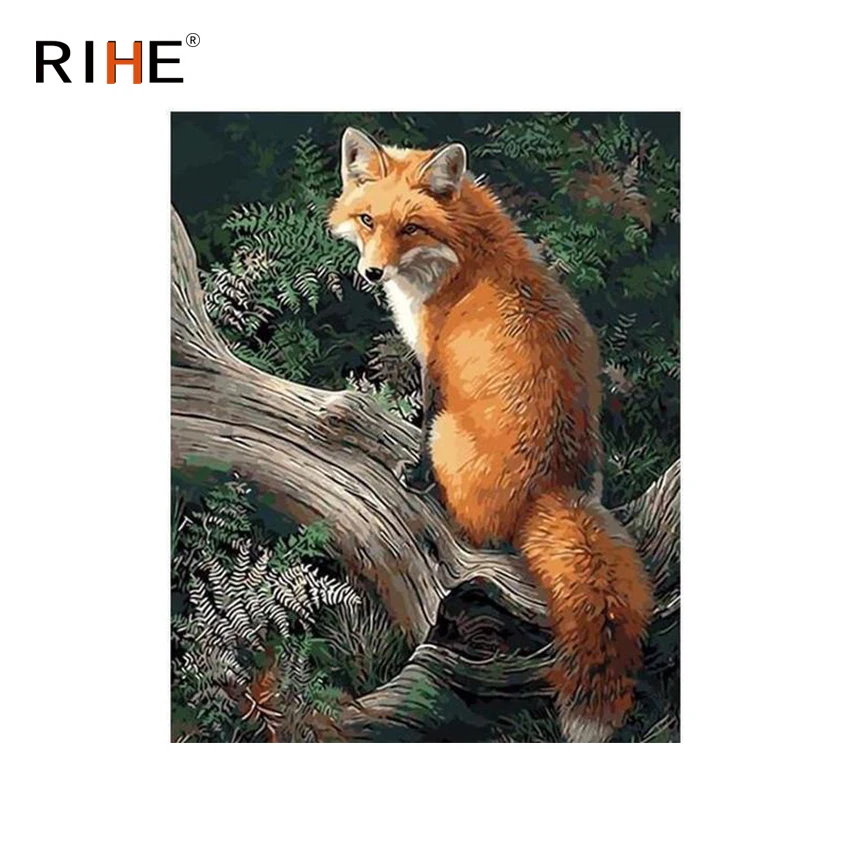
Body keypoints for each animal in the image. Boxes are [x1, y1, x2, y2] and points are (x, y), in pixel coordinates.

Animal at [328, 127, 654, 742]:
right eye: (367, 220)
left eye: (410, 227)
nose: (372, 274)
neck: (466, 254)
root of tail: (552, 489)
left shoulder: (434, 363)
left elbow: (422, 421)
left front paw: (415, 476)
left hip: (452, 437)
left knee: (473, 526)